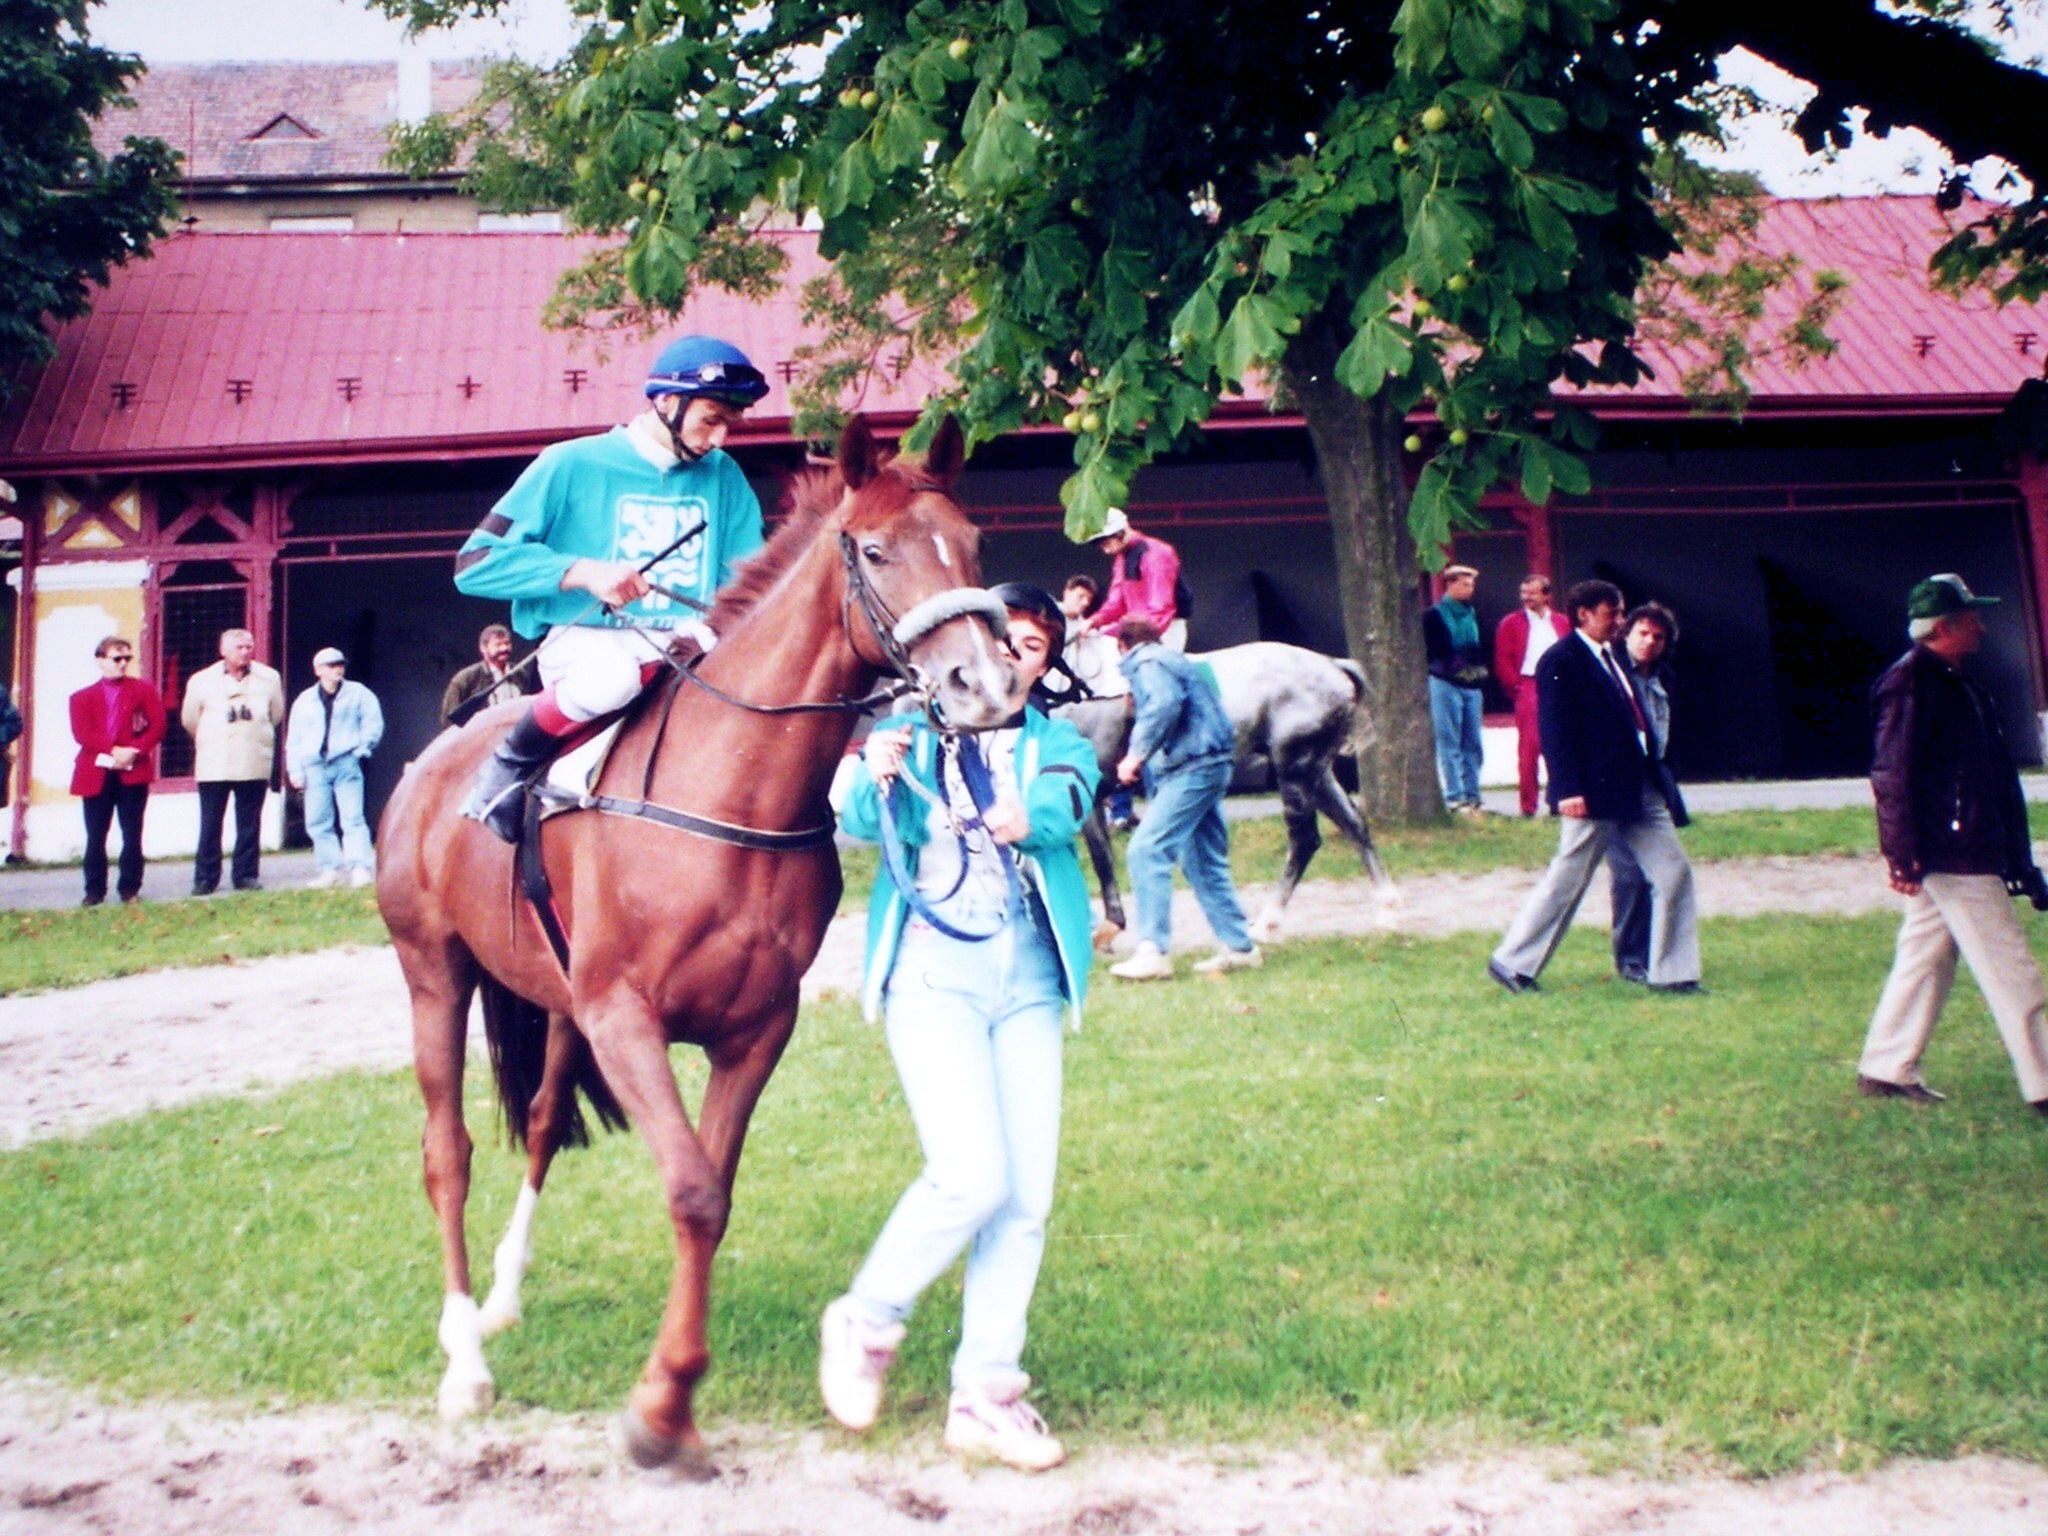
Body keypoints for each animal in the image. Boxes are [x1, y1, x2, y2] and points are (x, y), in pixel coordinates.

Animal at [376, 415, 1015, 1474]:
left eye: (971, 544)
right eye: (876, 551)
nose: (987, 685)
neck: (730, 792)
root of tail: (434, 760)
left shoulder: (752, 1030)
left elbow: (710, 1191)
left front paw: (670, 1396)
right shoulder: (626, 1018)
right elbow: (689, 1192)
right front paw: (663, 1405)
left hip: (555, 1001)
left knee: (541, 1121)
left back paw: (503, 1298)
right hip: (434, 972)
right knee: (446, 1150)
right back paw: (464, 1357)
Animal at [1056, 638, 1409, 950]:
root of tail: (1333, 666)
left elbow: (1101, 861)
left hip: (1294, 769)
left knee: (1305, 840)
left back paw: (1267, 923)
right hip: (1317, 774)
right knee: (1354, 825)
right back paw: (1387, 911)